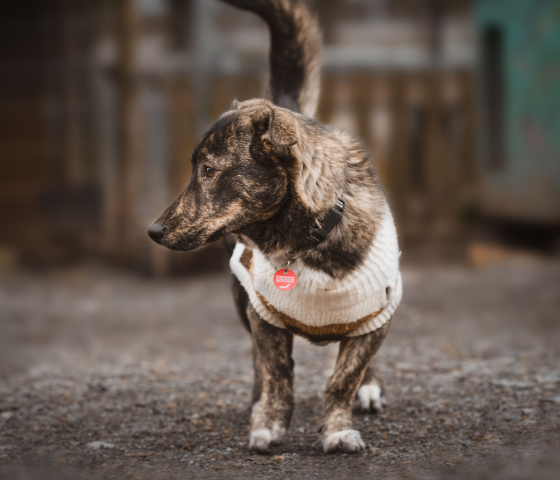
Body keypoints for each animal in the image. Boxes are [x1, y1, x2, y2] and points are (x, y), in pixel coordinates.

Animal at [148, 0, 402, 454]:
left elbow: (345, 376)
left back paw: (370, 388)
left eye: (209, 170)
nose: (154, 231)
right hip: (240, 294)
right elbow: (276, 369)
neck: (306, 239)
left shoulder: (378, 315)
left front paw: (338, 428)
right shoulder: (261, 313)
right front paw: (269, 421)